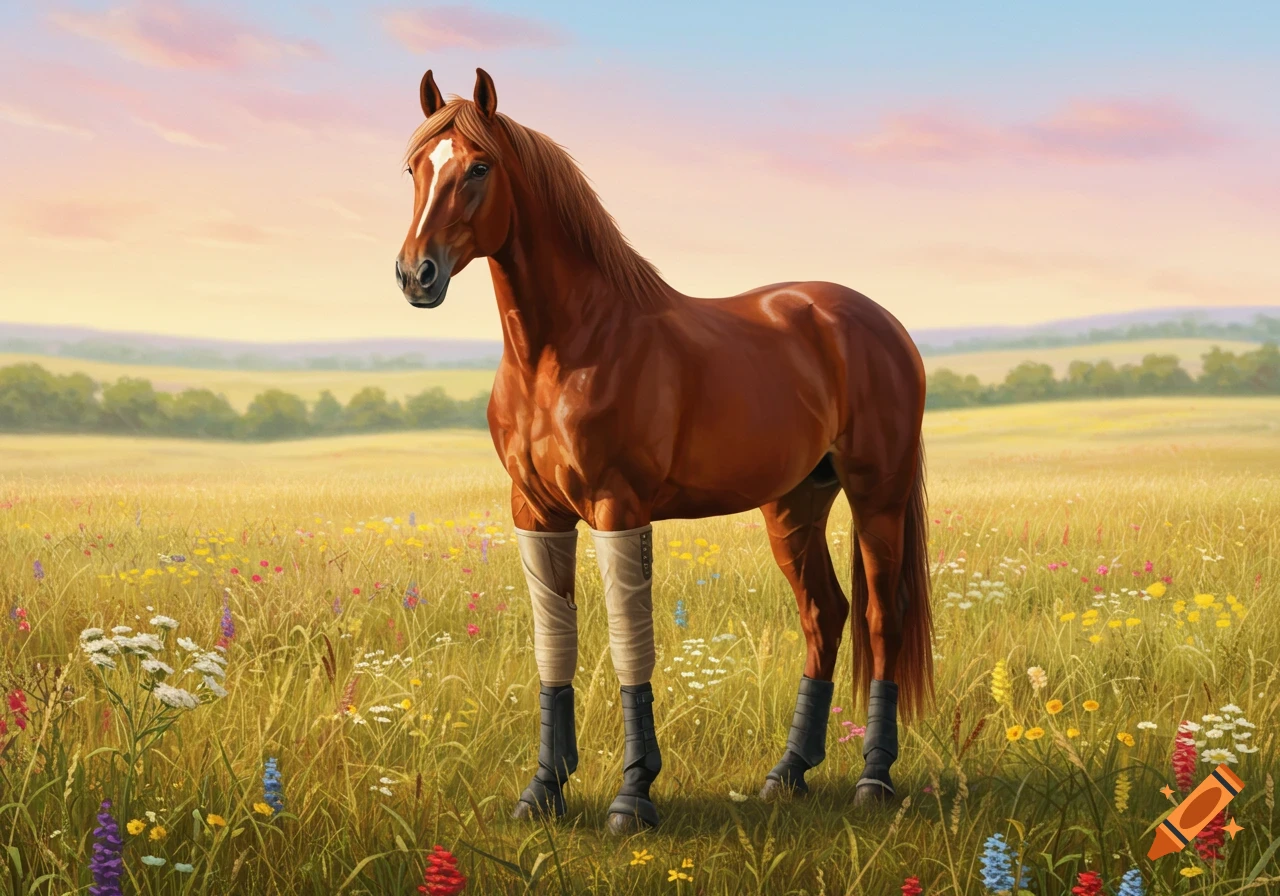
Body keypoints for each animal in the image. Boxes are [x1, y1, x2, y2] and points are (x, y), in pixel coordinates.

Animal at [395, 68, 933, 833]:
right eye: (413, 167)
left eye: (478, 167)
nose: (417, 275)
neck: (566, 346)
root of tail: (879, 321)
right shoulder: (535, 512)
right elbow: (554, 645)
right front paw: (543, 790)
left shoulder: (619, 508)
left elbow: (630, 644)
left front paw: (633, 797)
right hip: (794, 504)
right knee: (825, 614)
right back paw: (787, 774)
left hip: (877, 495)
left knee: (883, 620)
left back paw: (874, 781)